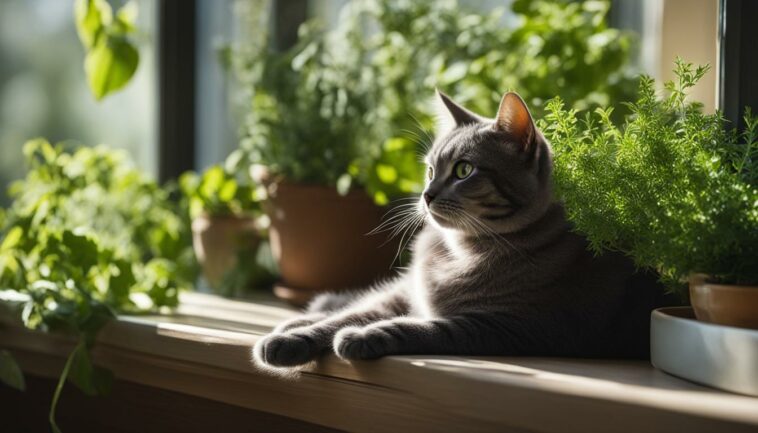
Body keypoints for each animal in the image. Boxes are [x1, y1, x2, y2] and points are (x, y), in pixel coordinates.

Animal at [252, 91, 668, 368]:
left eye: (464, 170)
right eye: (430, 169)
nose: (426, 194)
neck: (459, 251)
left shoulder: (509, 325)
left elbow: (422, 328)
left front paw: (366, 336)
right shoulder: (407, 294)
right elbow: (350, 314)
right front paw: (296, 336)